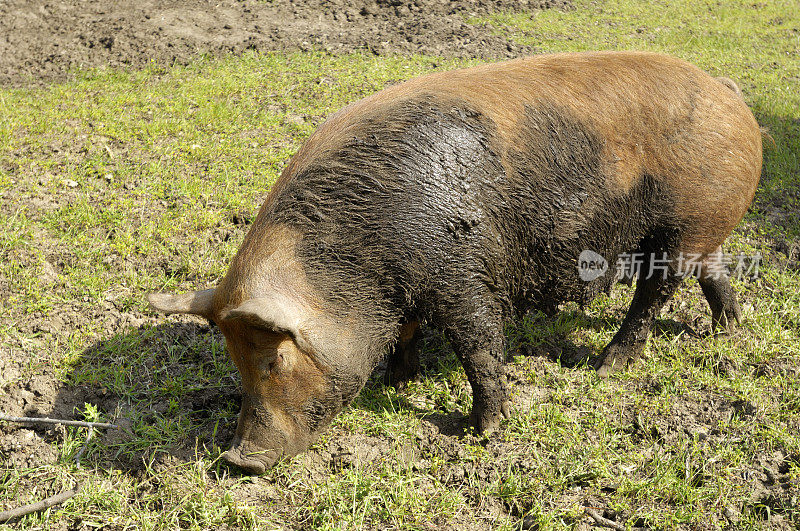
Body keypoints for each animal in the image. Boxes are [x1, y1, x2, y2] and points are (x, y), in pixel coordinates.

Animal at [148, 51, 764, 474]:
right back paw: (728, 330)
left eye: (275, 358)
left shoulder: (462, 275)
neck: (357, 266)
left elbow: (479, 345)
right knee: (710, 271)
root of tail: (728, 92)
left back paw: (605, 367)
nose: (239, 460)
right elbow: (408, 333)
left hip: (682, 226)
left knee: (655, 293)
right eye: (235, 362)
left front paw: (484, 432)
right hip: (700, 230)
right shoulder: (406, 290)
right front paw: (400, 380)